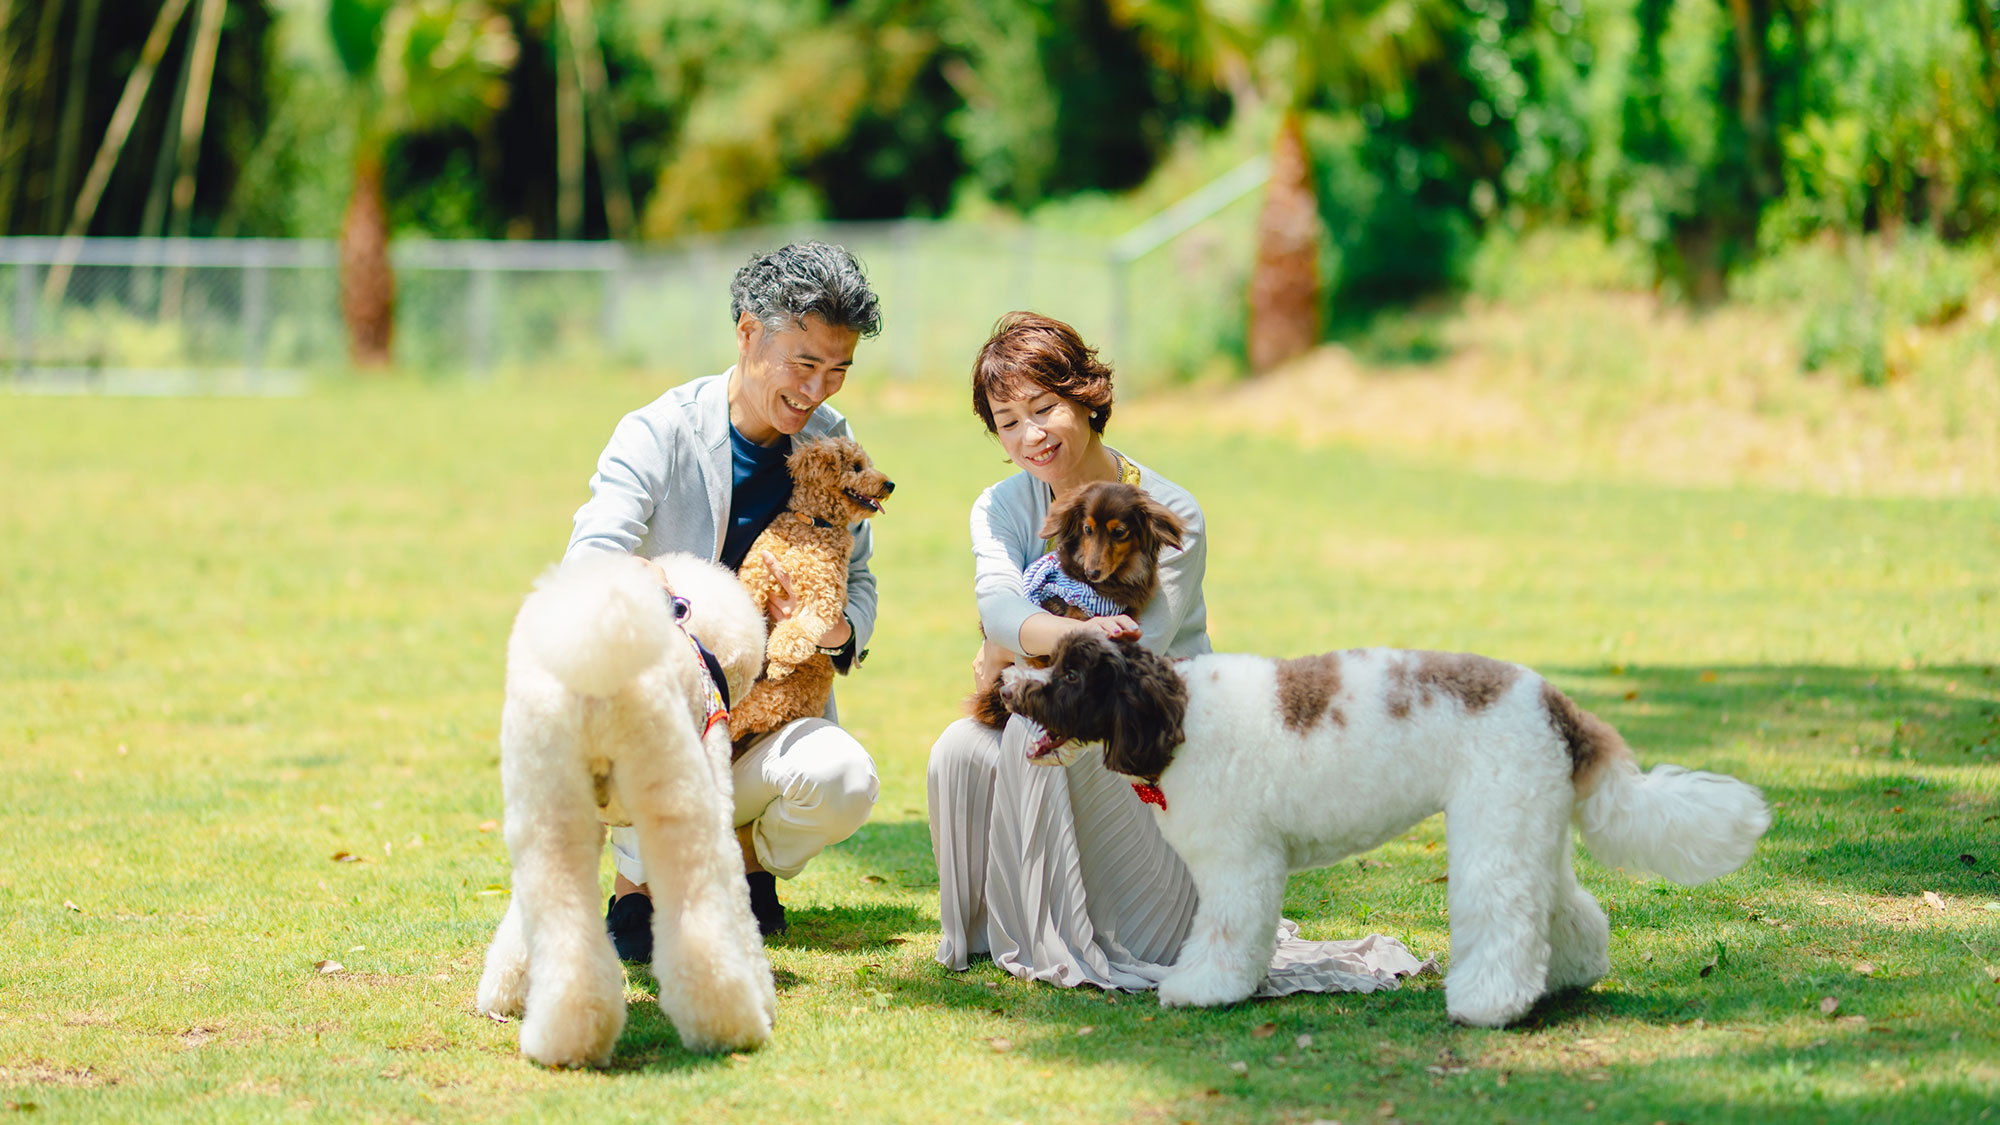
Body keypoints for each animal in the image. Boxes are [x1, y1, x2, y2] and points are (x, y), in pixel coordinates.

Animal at [1000, 632, 1768, 1024]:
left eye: (1070, 674)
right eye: (1050, 659)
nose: (1006, 686)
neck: (1176, 714)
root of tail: (1556, 701)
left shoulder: (1241, 865)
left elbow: (1224, 936)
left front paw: (1204, 988)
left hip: (1492, 834)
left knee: (1506, 921)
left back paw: (1488, 1003)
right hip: (1526, 827)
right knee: (1569, 912)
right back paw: (1567, 978)